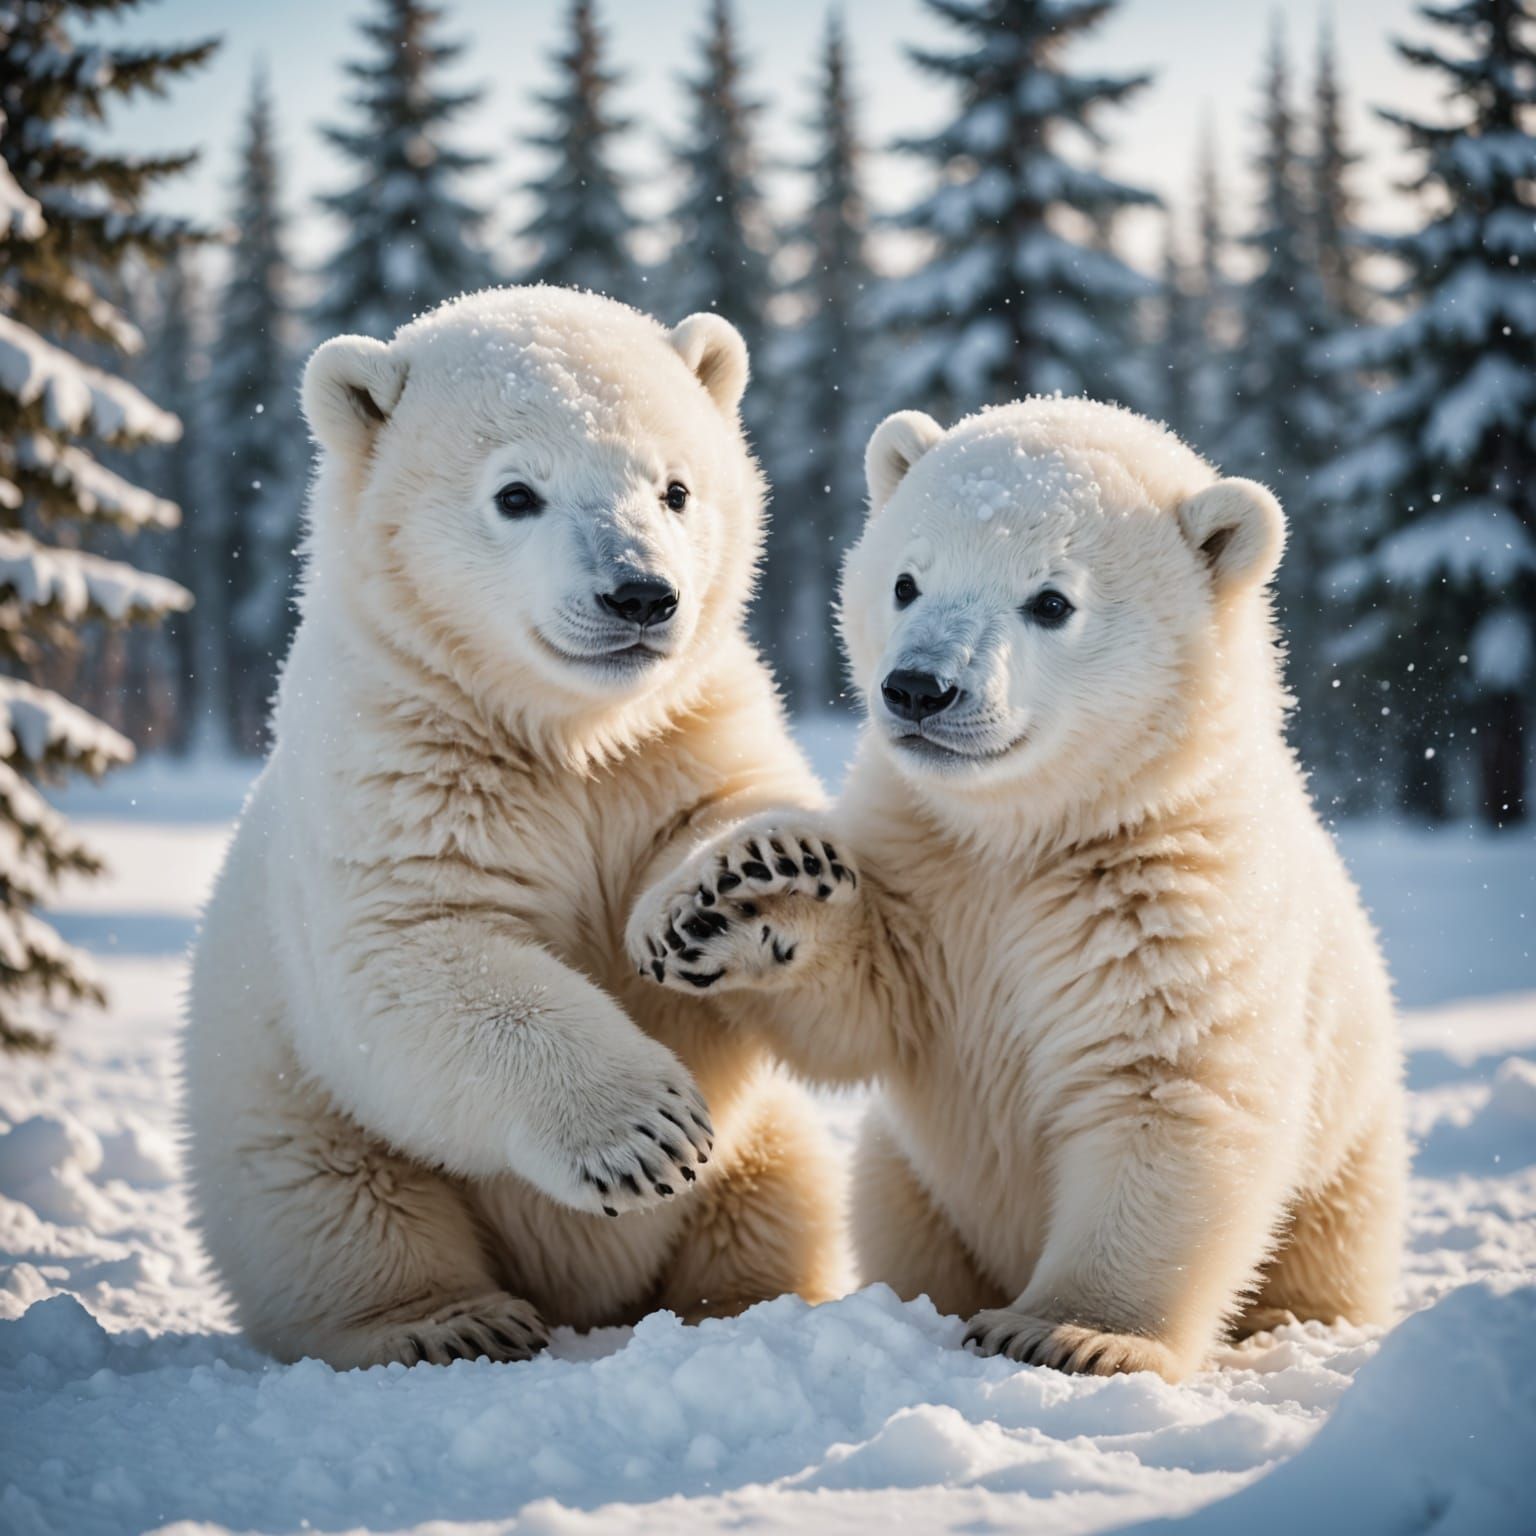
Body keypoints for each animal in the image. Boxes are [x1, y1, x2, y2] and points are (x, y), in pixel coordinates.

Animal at [182, 285, 842, 1370]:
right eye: (518, 494)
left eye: (675, 487)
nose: (640, 594)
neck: (560, 731)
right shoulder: (402, 760)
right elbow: (415, 953)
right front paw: (647, 1135)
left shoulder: (681, 733)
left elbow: (740, 816)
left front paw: (743, 885)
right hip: (281, 1121)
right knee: (340, 1212)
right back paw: (448, 1321)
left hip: (768, 1146)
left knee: (775, 1194)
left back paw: (748, 1306)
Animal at [628, 396, 1407, 1383]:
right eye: (906, 581)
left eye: (1052, 601)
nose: (919, 687)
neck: (1025, 837)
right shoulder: (931, 869)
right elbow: (869, 1010)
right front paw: (732, 899)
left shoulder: (1169, 901)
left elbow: (1170, 1089)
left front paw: (1068, 1333)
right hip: (910, 1188)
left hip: (1349, 1174)